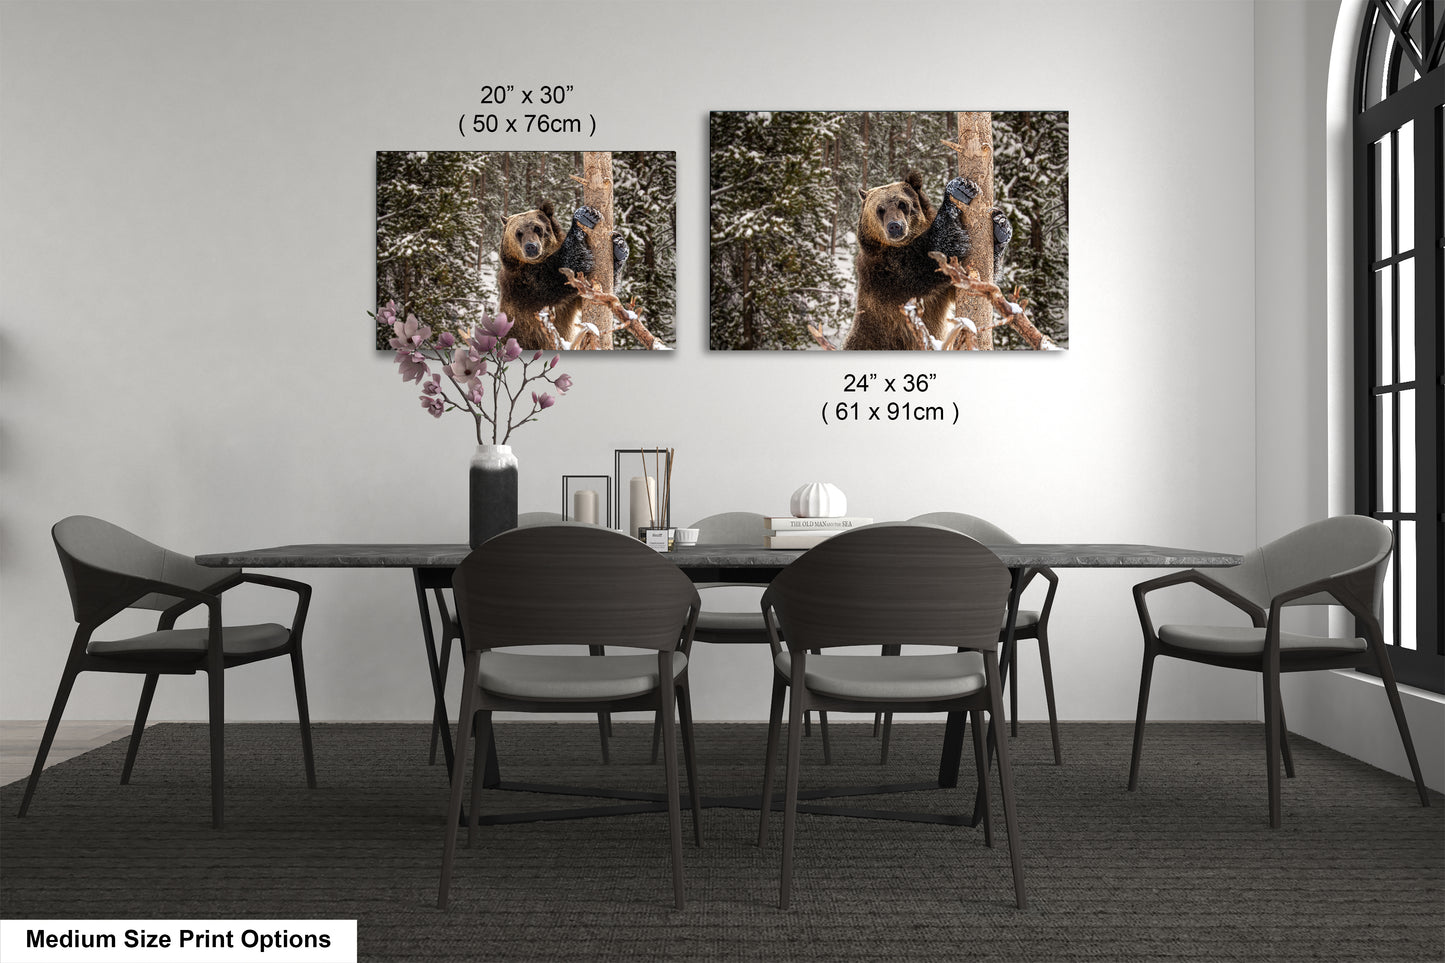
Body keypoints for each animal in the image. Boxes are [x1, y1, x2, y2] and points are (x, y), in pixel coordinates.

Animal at [497, 202, 627, 348]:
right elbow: (561, 271)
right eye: (518, 233)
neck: (536, 262)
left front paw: (619, 247)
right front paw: (584, 217)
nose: (531, 246)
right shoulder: (526, 286)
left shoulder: (571, 300)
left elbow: (591, 294)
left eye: (537, 228)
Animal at [843, 170, 1011, 351]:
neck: (901, 244)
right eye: (880, 209)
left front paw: (1000, 226)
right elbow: (931, 256)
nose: (895, 226)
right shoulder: (888, 273)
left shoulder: (942, 291)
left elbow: (969, 282)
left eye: (902, 204)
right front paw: (959, 190)